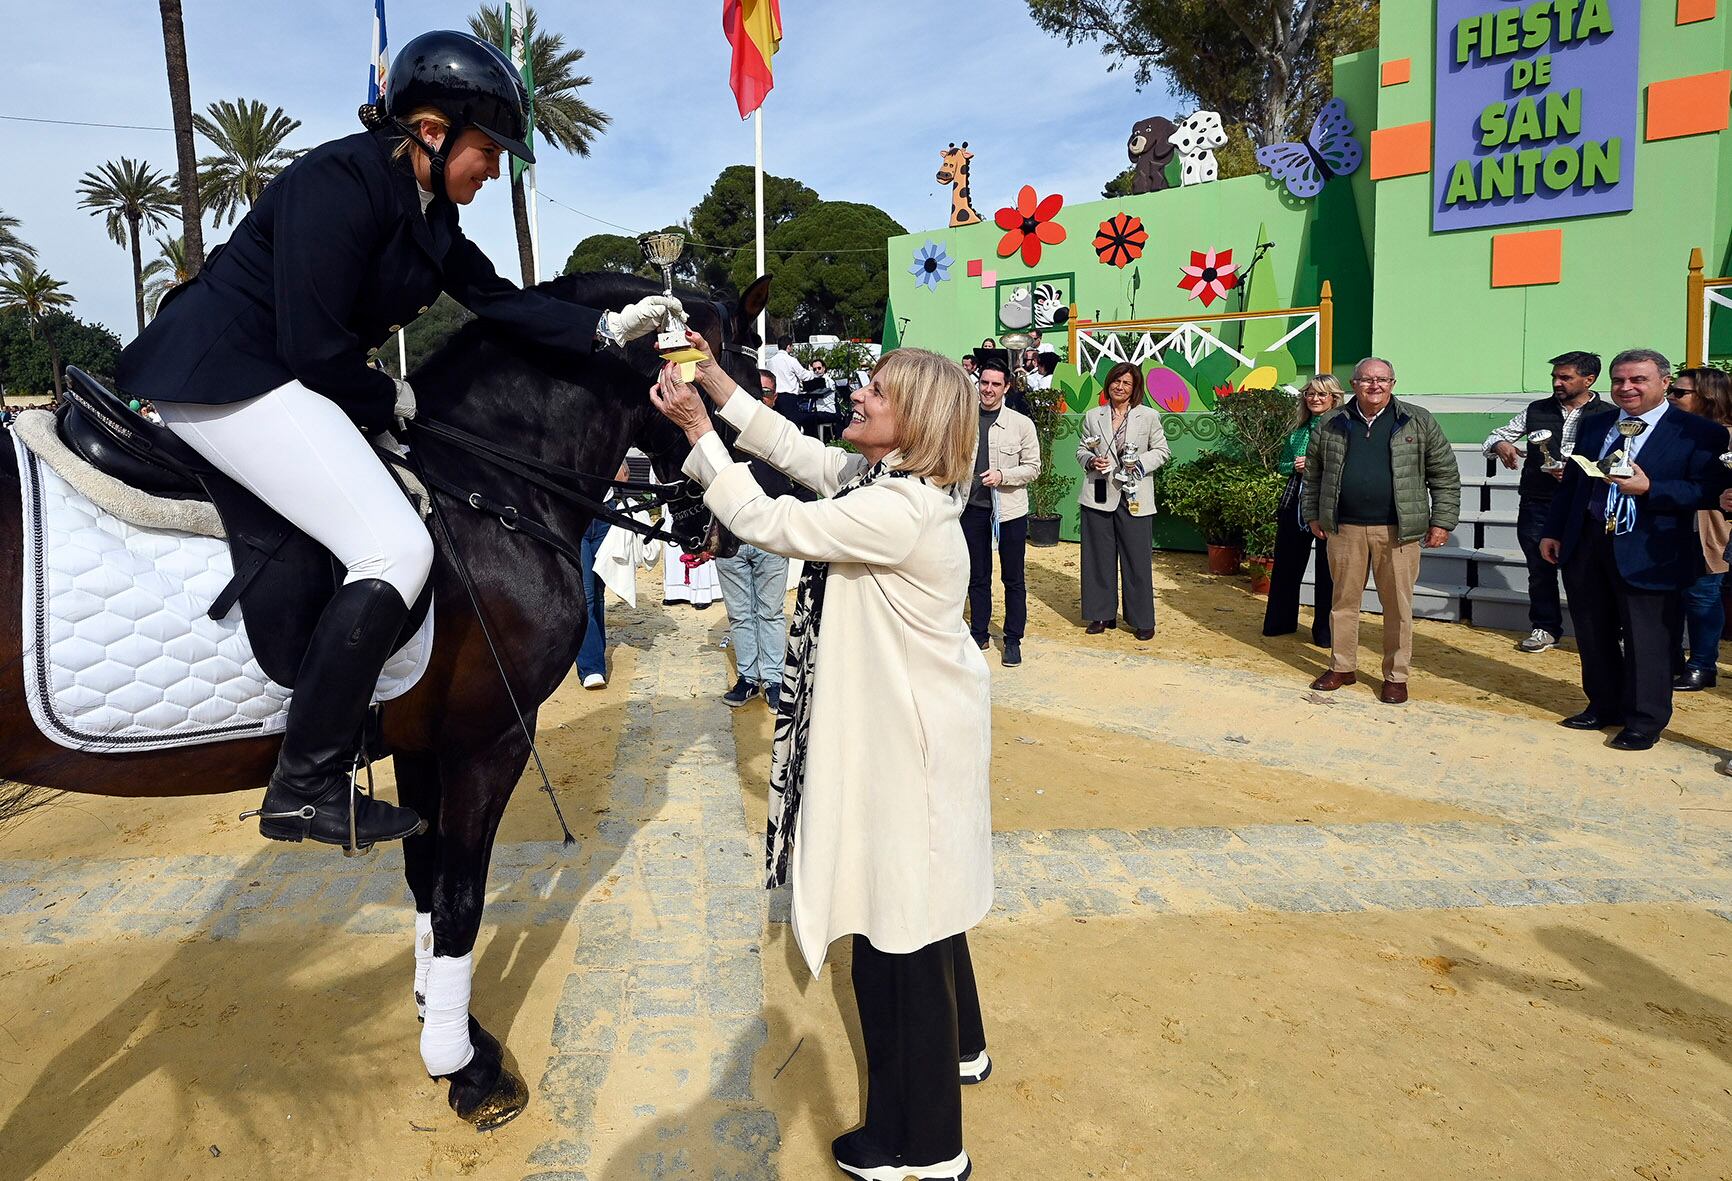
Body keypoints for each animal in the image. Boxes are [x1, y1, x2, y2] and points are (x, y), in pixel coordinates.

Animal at [0, 271, 772, 1129]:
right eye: (737, 371)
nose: (738, 521)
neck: (487, 488)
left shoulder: (418, 738)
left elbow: (424, 876)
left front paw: (443, 1021)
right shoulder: (489, 738)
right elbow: (461, 894)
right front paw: (467, 1070)